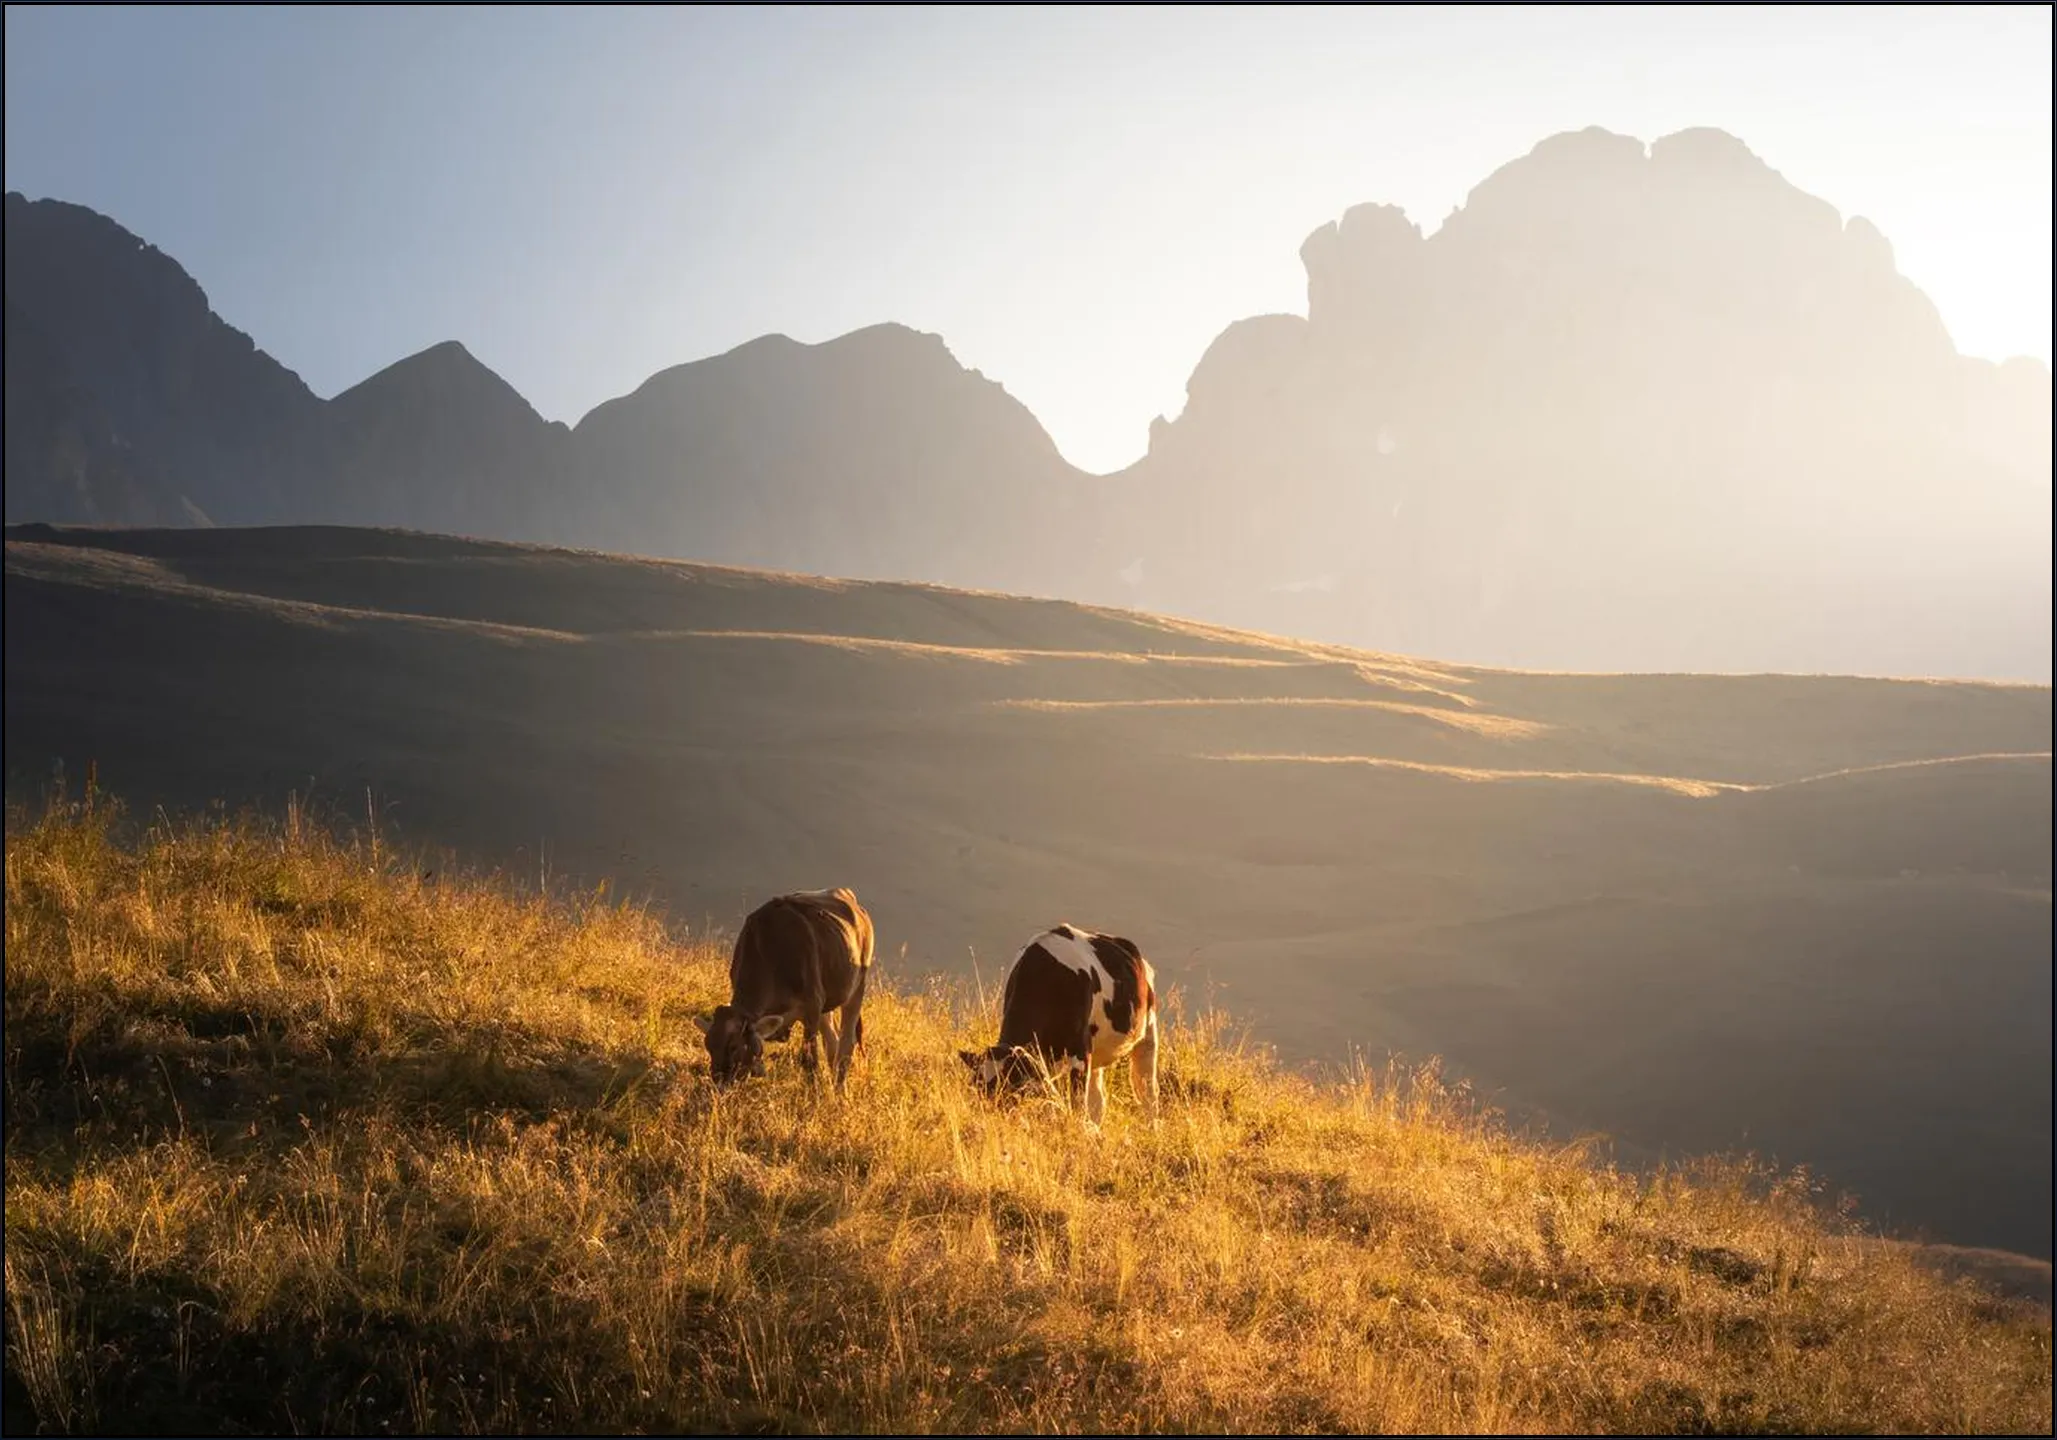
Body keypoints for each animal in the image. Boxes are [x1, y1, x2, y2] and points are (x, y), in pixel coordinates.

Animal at [694, 887, 875, 1092]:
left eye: (733, 1047)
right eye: (708, 1046)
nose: (719, 1084)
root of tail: (845, 893)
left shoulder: (812, 1005)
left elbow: (809, 1060)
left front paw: (813, 1094)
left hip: (857, 986)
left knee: (846, 1045)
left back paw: (840, 1090)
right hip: (827, 1001)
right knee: (832, 1042)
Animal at [959, 923, 1160, 1129]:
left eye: (1009, 1088)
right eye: (978, 1088)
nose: (991, 1122)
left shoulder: (1080, 1053)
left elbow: (1078, 1104)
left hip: (1148, 1033)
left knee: (1147, 1092)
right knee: (1098, 1101)